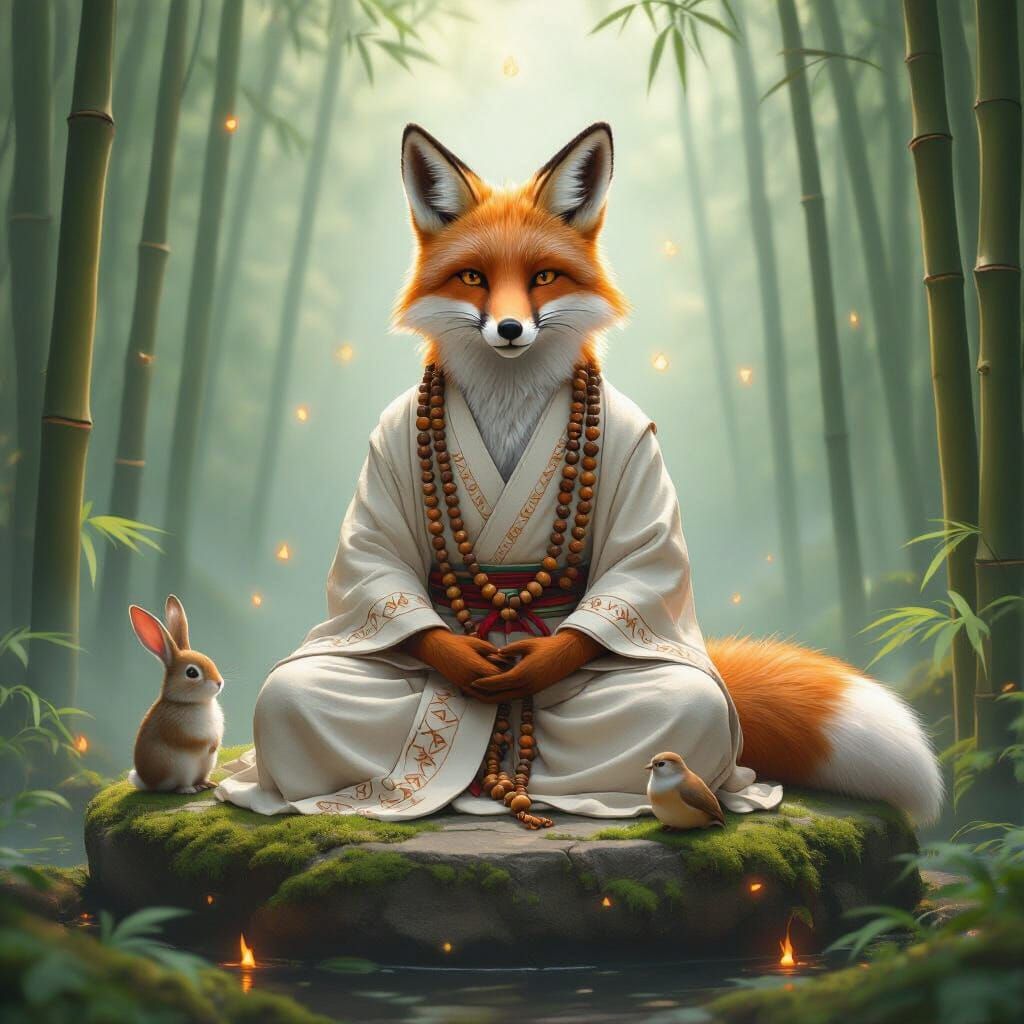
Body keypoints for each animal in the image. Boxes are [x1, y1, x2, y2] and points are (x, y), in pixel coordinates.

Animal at [392, 121, 942, 825]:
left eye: (542, 277)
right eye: (472, 278)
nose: (510, 329)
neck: (508, 402)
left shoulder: (635, 442)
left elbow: (639, 569)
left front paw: (534, 664)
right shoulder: (388, 440)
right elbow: (381, 573)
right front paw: (462, 658)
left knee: (695, 702)